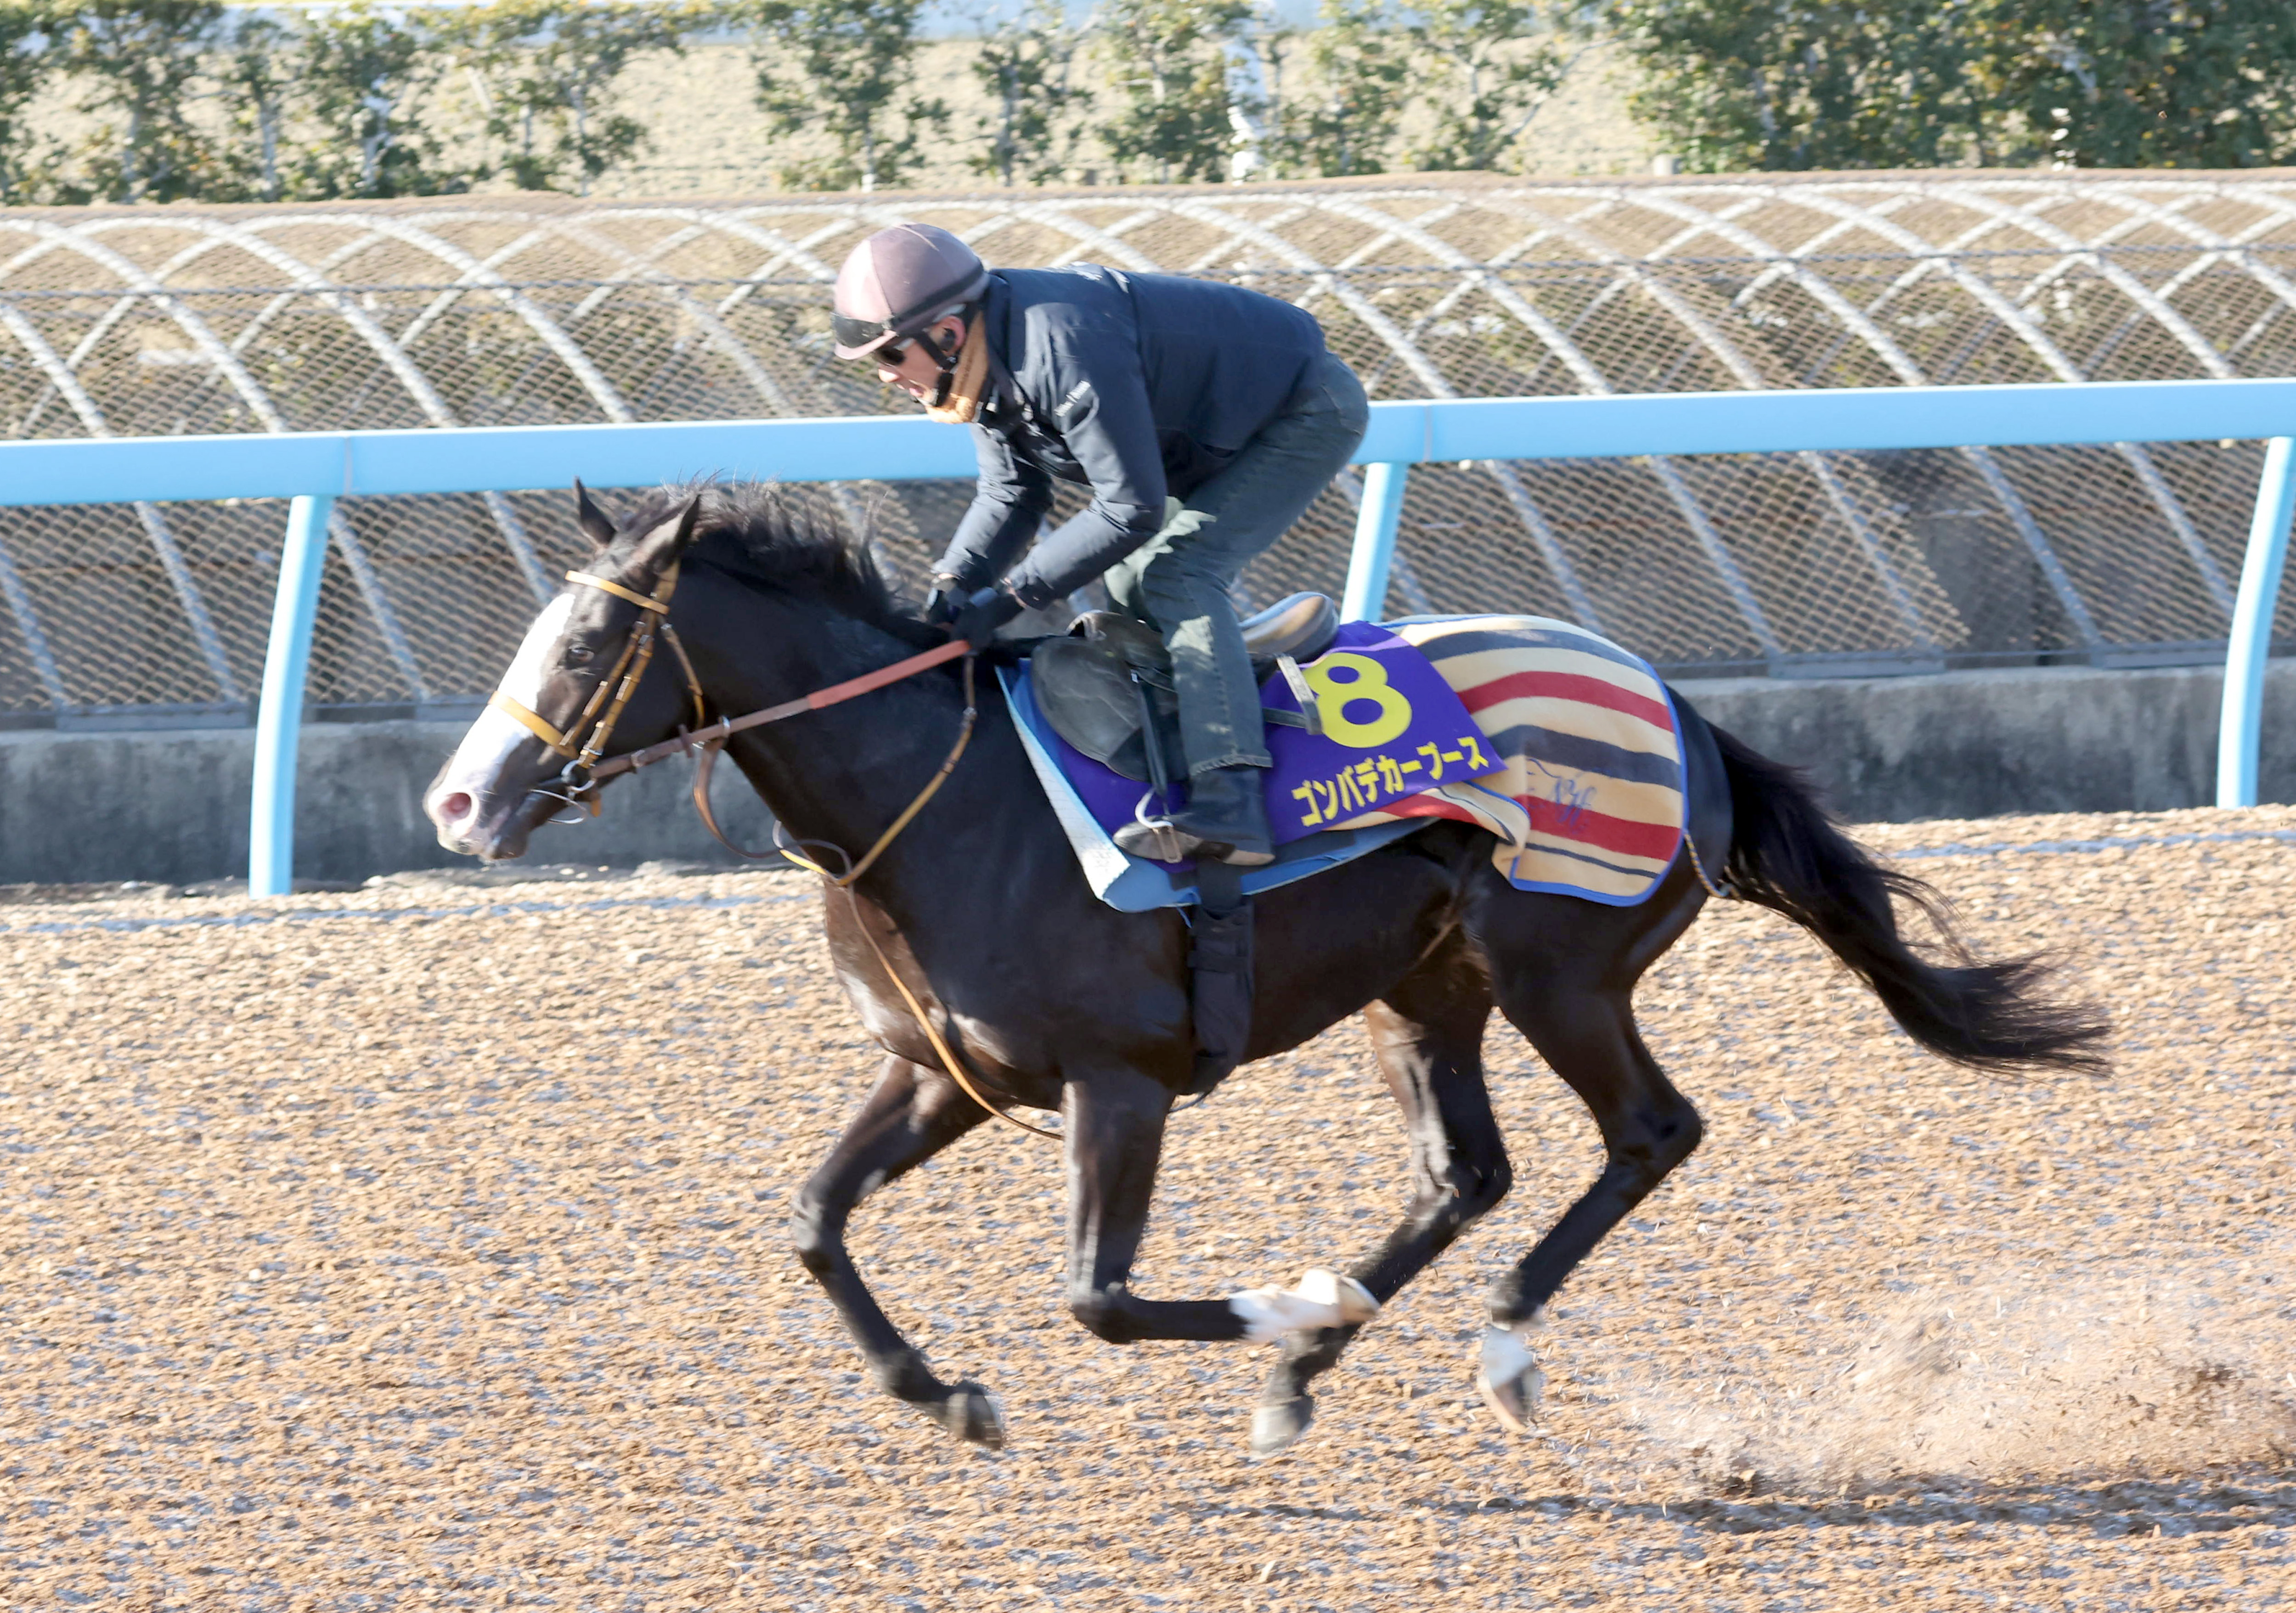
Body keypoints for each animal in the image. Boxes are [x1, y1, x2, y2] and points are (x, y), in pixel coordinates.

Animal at [422, 486, 2103, 1459]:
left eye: (582, 649)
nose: (455, 803)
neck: (939, 795)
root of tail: (1677, 708)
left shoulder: (1118, 1083)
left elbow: (1097, 1300)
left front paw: (1277, 1310)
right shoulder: (940, 1070)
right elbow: (811, 1221)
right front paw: (949, 1396)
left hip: (1557, 969)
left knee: (1646, 1133)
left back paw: (1483, 1342)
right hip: (1423, 991)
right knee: (1465, 1173)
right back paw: (1315, 1368)